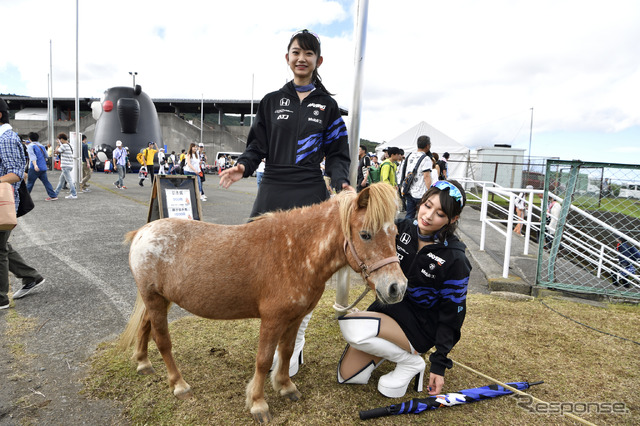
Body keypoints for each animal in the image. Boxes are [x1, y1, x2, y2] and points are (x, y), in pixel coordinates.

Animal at [118, 183, 408, 422]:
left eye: (395, 233)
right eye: (365, 234)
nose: (397, 287)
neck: (295, 252)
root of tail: (143, 232)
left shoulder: (295, 317)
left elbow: (287, 351)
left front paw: (285, 387)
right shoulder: (272, 320)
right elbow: (264, 359)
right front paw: (258, 404)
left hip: (160, 300)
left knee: (144, 327)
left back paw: (143, 363)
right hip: (155, 300)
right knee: (162, 340)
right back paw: (179, 385)